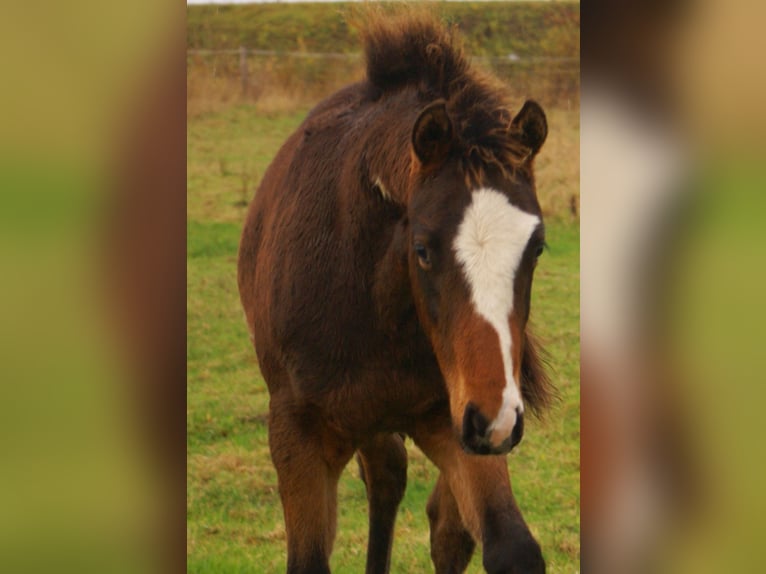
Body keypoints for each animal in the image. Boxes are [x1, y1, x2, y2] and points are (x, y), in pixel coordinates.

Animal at [237, 11, 554, 574]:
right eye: (422, 249)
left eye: (536, 247)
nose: (497, 420)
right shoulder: (297, 435)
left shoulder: (454, 418)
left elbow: (507, 546)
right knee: (387, 479)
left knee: (436, 518)